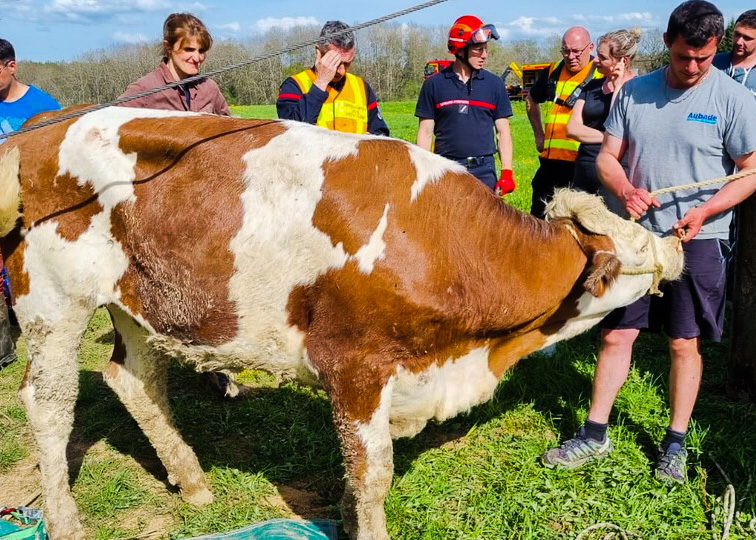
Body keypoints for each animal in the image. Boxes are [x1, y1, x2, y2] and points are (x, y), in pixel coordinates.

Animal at [0, 106, 683, 540]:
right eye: (632, 249)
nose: (676, 243)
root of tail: (37, 130)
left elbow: (358, 473)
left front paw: (350, 520)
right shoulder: (356, 366)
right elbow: (372, 471)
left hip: (141, 302)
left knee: (136, 381)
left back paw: (192, 482)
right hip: (54, 305)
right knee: (49, 404)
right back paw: (64, 522)